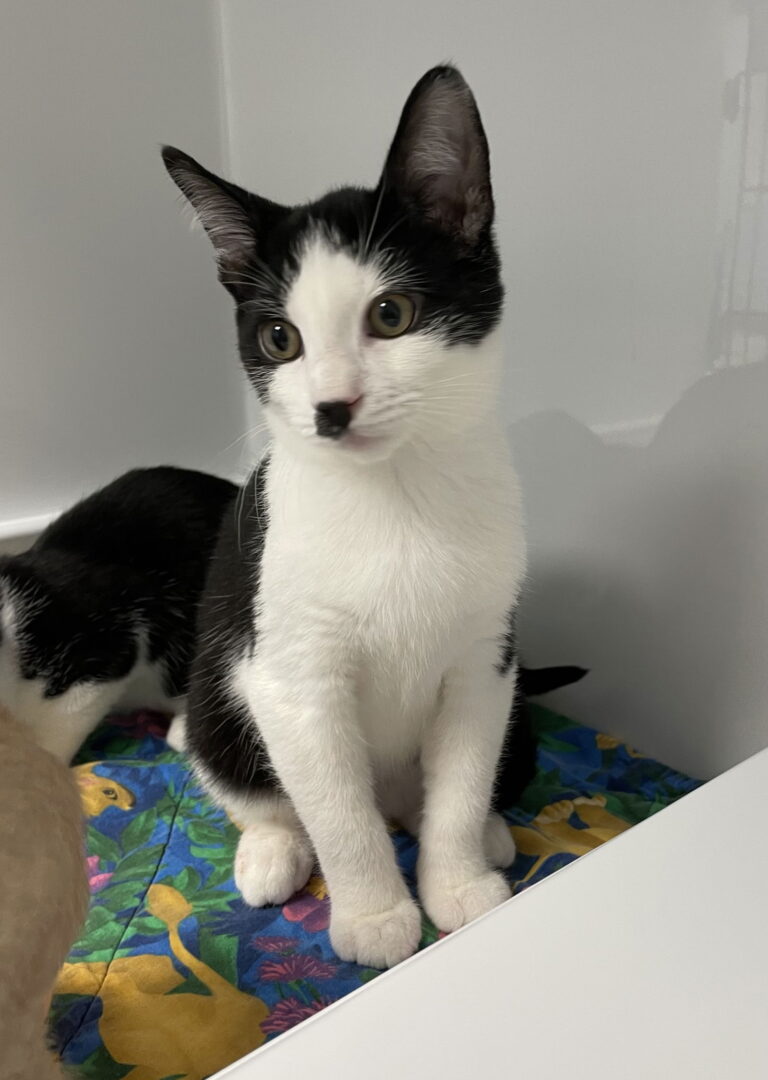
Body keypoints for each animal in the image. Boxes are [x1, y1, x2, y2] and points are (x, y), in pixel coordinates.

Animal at [162, 64, 564, 969]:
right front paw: (376, 916)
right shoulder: (290, 676)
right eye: (279, 339)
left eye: (391, 314)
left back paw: (486, 832)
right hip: (219, 688)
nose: (332, 407)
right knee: (246, 779)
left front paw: (457, 888)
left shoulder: (485, 657)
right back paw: (273, 849)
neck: (395, 494)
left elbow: (460, 779)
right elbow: (336, 813)